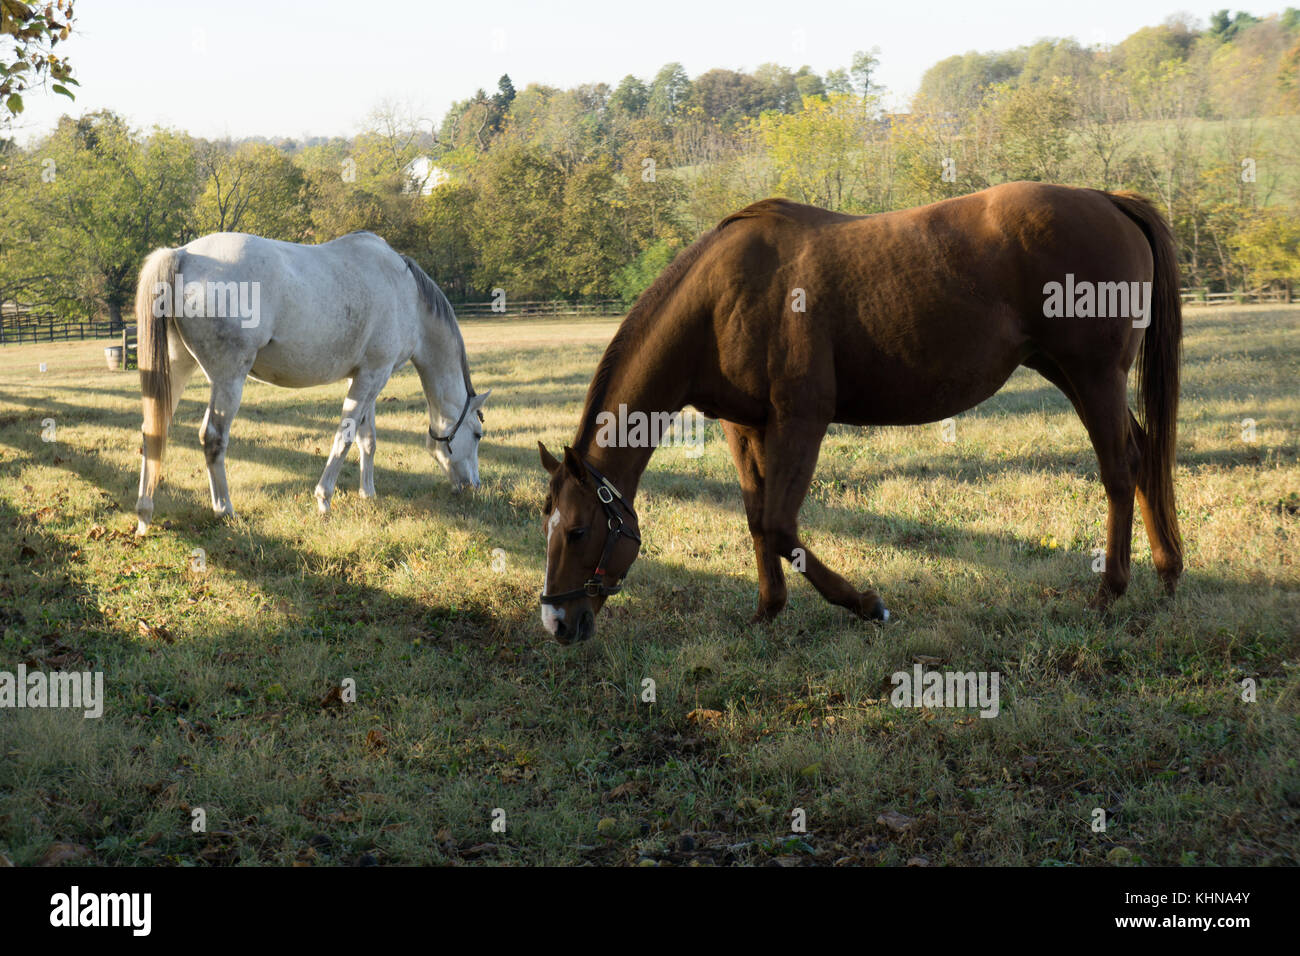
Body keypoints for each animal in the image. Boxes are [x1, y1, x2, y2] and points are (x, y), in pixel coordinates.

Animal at [133, 230, 490, 534]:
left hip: (178, 367)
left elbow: (367, 440)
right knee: (213, 438)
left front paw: (368, 493)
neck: (407, 295)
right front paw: (324, 499)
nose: (473, 485)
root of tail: (182, 253)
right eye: (478, 434)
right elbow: (345, 437)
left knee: (153, 430)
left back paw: (144, 514)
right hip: (228, 379)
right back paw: (225, 509)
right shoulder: (373, 376)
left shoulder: (368, 377)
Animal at [538, 182, 1184, 644]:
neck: (721, 299)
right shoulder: (745, 426)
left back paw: (1111, 590)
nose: (557, 624)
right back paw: (1168, 570)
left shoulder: (801, 419)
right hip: (1069, 374)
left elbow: (780, 524)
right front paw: (768, 611)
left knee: (1120, 469)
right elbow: (757, 519)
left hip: (1093, 376)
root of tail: (1108, 199)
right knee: (1144, 453)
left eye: (577, 530)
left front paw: (868, 605)